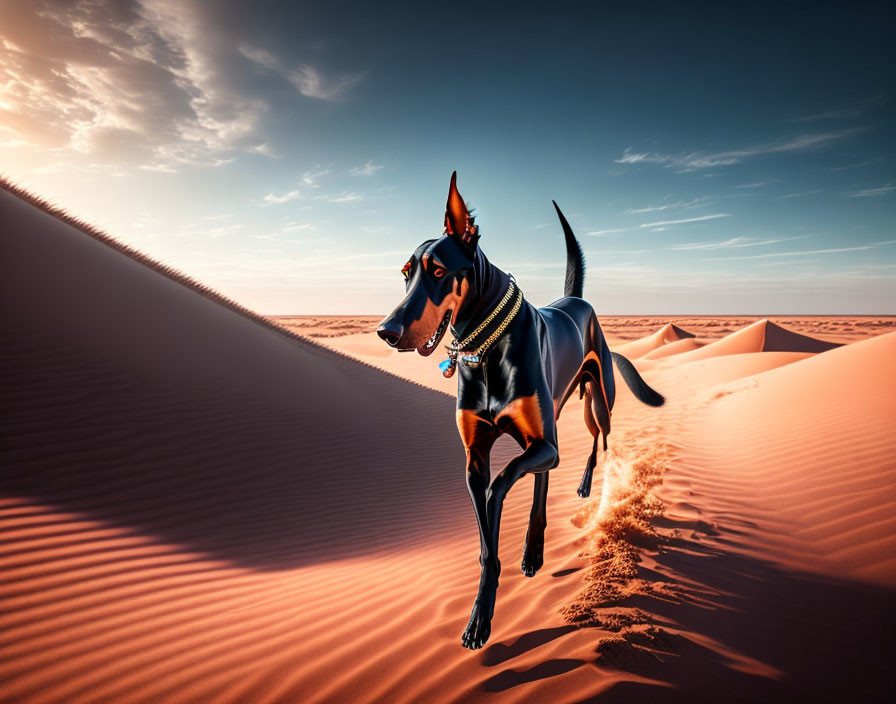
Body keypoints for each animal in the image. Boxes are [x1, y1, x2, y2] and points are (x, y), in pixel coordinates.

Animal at [374, 172, 660, 648]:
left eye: (439, 271)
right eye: (405, 274)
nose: (386, 331)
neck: (486, 348)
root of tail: (576, 302)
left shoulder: (541, 444)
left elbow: (499, 487)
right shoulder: (475, 457)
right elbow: (487, 541)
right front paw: (480, 614)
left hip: (596, 401)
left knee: (599, 441)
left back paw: (586, 487)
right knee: (545, 477)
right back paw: (532, 550)